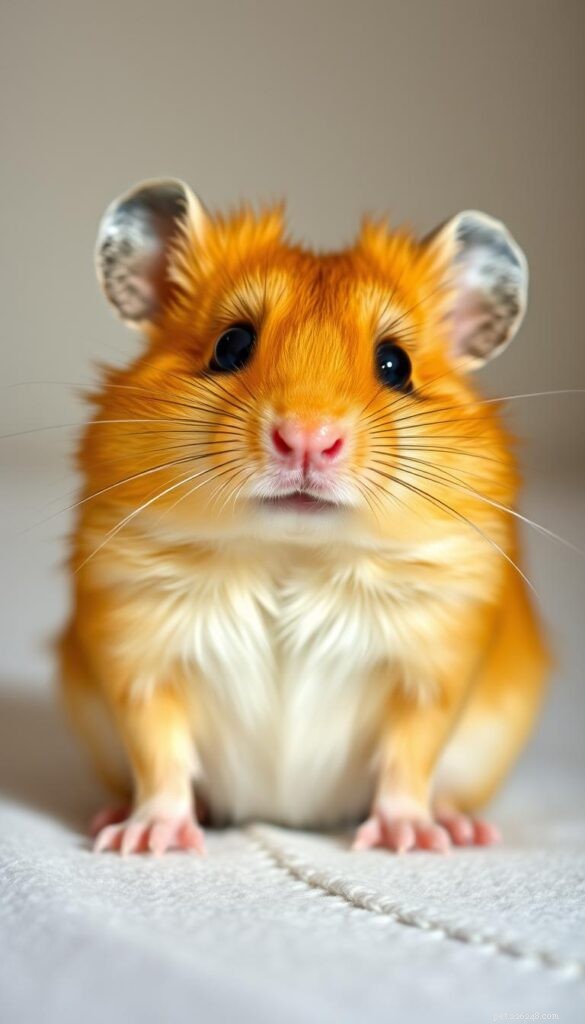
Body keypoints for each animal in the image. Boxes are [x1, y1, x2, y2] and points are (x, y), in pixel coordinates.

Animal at [58, 178, 549, 855]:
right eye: (232, 344)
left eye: (396, 364)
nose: (308, 440)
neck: (292, 551)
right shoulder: (137, 656)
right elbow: (158, 756)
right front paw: (147, 841)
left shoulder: (435, 668)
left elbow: (411, 758)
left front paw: (409, 841)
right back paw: (113, 818)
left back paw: (460, 829)